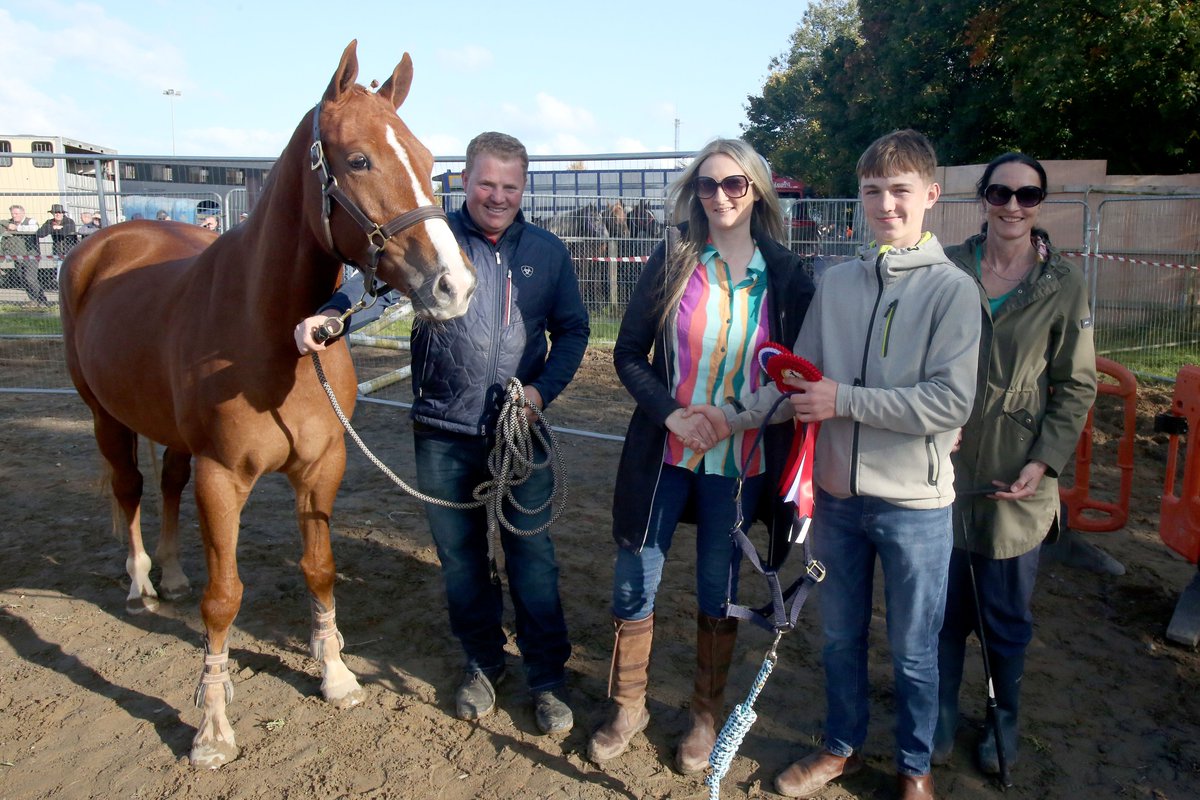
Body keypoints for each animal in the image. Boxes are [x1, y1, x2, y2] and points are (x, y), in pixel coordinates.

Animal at [58, 41, 475, 769]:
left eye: (429, 163)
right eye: (359, 160)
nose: (454, 285)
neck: (275, 338)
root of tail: (103, 242)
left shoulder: (322, 465)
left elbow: (320, 568)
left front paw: (335, 674)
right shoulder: (223, 477)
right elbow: (223, 599)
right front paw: (212, 728)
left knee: (166, 483)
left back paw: (170, 573)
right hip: (104, 415)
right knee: (129, 486)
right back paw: (140, 584)